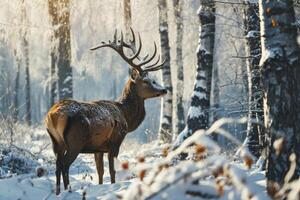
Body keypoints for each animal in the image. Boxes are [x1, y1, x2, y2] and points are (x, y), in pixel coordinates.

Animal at [44, 28, 168, 195]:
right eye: (146, 81)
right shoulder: (115, 141)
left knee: (57, 166)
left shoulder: (98, 148)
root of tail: (53, 116)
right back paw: (68, 191)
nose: (164, 89)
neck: (126, 117)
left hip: (56, 142)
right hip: (75, 140)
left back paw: (58, 193)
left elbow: (100, 172)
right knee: (64, 165)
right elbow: (112, 170)